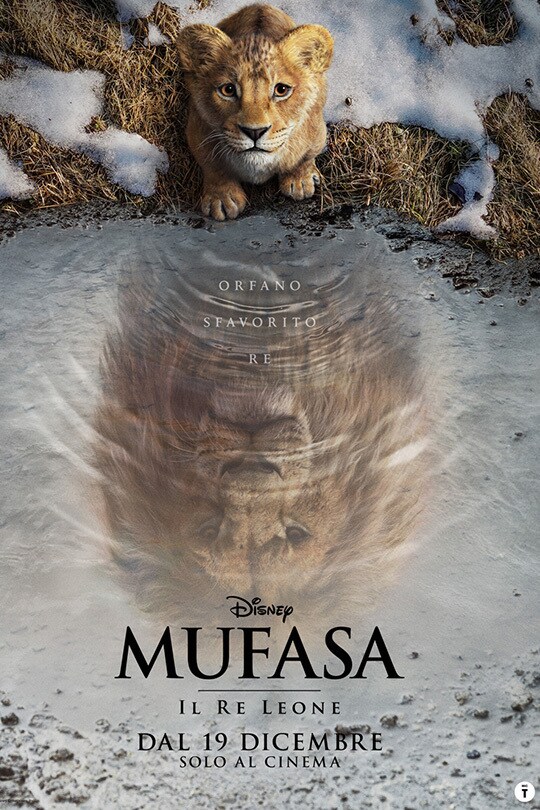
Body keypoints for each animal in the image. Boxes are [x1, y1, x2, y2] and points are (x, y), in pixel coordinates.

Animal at [177, 3, 334, 220]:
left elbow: (304, 157)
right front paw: (222, 199)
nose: (254, 132)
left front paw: (300, 180)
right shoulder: (197, 131)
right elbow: (213, 166)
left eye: (281, 90)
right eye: (228, 90)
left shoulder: (316, 132)